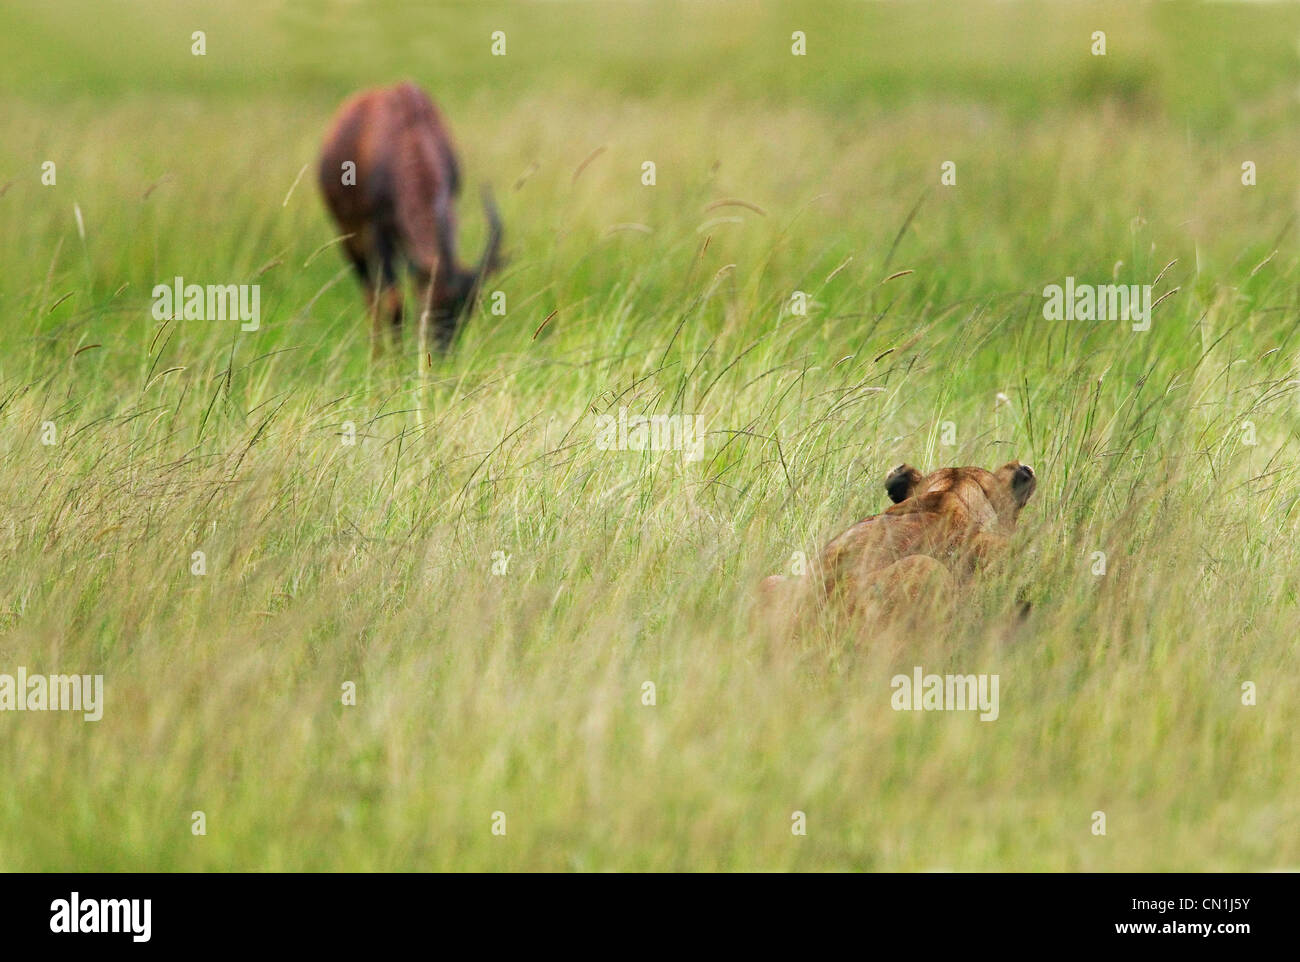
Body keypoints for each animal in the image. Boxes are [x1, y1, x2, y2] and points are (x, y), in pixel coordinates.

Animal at [317, 80, 504, 356]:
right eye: (433, 303)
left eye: (468, 309)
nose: (441, 355)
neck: (408, 128)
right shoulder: (379, 229)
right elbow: (394, 303)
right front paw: (396, 363)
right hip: (349, 236)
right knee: (371, 295)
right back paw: (377, 357)